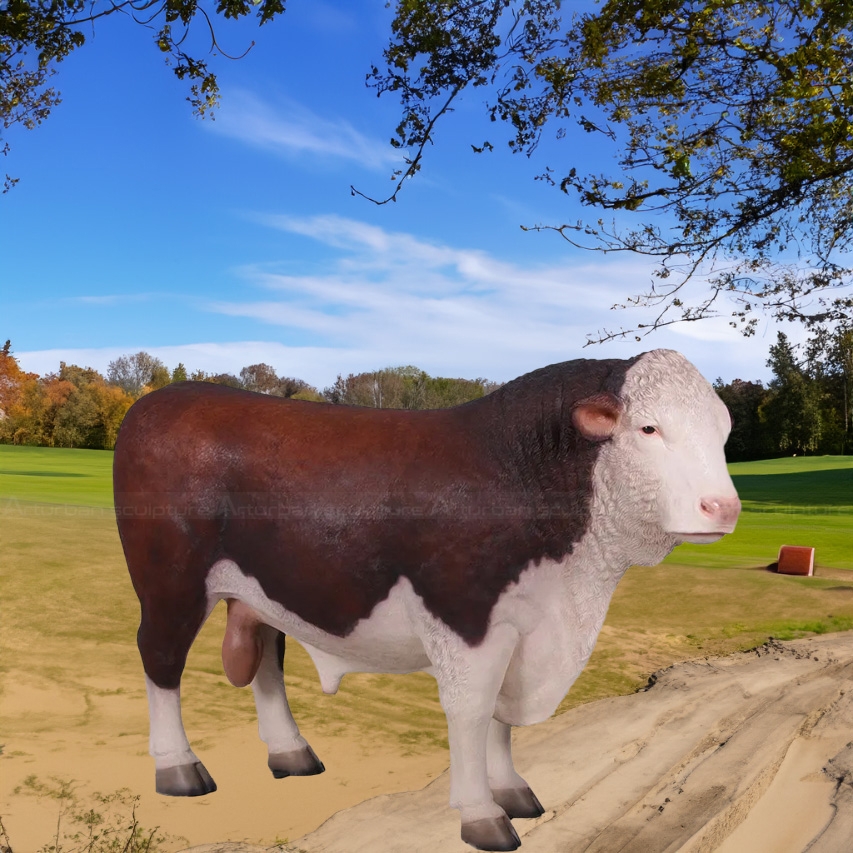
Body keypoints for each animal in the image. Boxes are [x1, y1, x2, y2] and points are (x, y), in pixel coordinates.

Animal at [113, 350, 740, 848]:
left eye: (721, 433)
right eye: (649, 429)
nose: (724, 508)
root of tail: (162, 399)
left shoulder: (522, 623)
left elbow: (499, 716)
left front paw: (511, 788)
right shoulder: (463, 612)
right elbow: (472, 711)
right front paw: (481, 813)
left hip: (260, 587)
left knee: (267, 656)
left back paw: (290, 752)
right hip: (168, 581)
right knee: (160, 658)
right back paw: (179, 766)